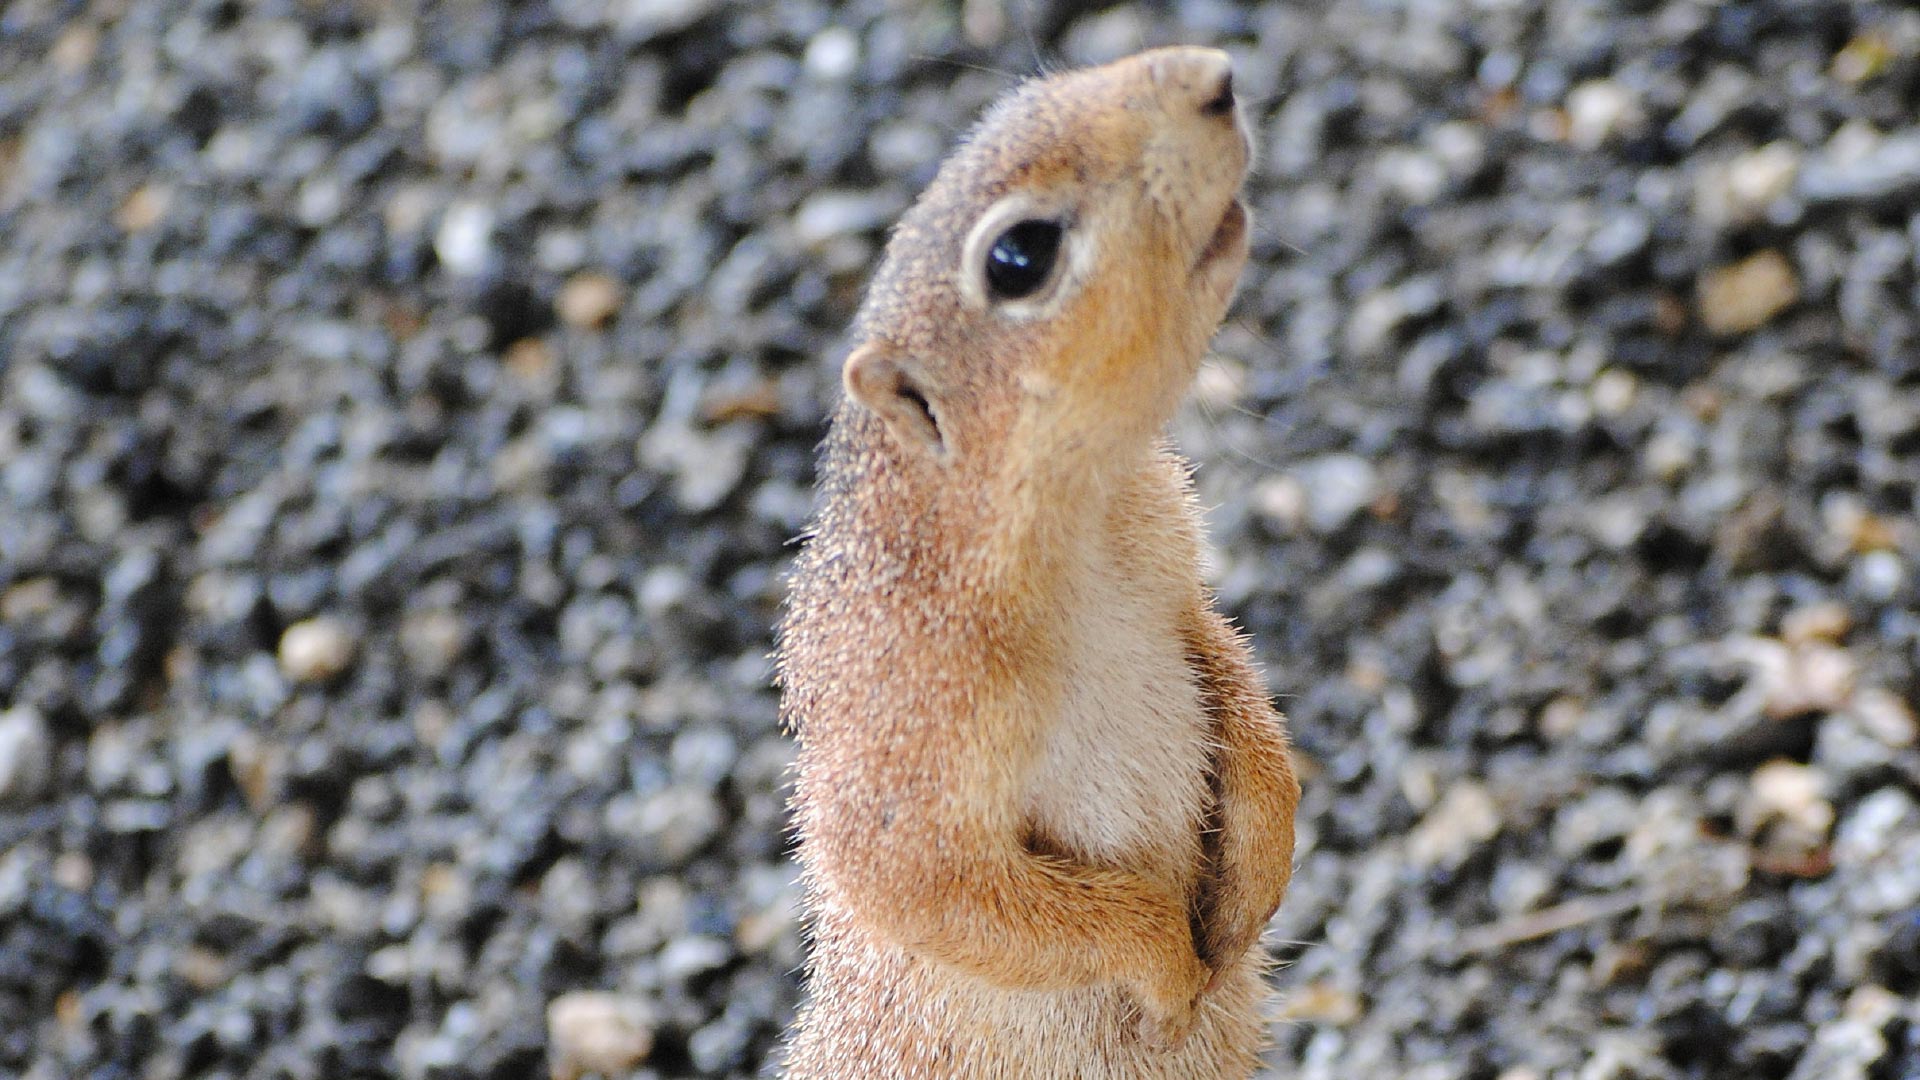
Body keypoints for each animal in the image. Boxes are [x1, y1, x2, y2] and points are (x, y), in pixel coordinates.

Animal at [776, 48, 1300, 1078]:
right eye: (1019, 256)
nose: (1215, 77)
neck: (1082, 532)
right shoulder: (909, 718)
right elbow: (937, 886)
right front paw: (1167, 969)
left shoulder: (1173, 564)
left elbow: (1230, 669)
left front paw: (1261, 868)